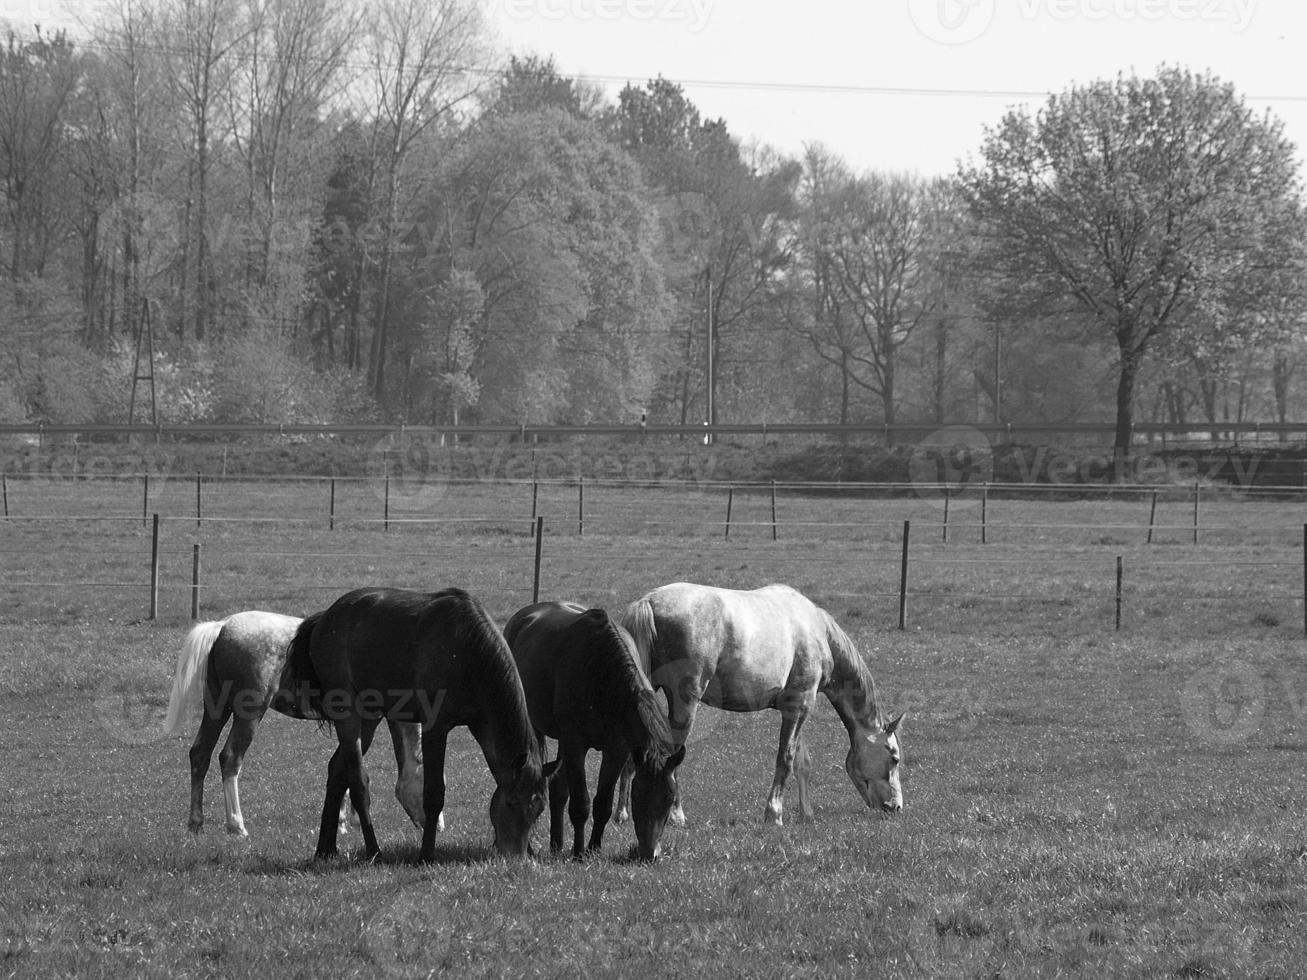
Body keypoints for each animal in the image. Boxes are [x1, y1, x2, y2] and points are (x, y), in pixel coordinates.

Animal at [162, 614, 428, 836]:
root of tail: (222, 627)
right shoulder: (365, 725)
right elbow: (350, 766)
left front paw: (345, 820)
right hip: (248, 716)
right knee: (229, 759)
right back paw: (236, 825)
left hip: (217, 710)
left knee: (200, 755)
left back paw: (196, 823)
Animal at [283, 588, 559, 862]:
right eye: (511, 803)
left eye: (538, 809)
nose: (516, 856)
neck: (467, 651)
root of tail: (325, 617)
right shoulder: (434, 727)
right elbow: (434, 793)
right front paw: (426, 853)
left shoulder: (482, 725)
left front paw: (531, 849)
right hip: (348, 714)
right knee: (357, 781)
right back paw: (373, 850)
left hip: (369, 718)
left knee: (337, 770)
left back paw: (325, 848)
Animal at [499, 603, 684, 862]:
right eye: (636, 795)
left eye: (669, 798)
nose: (649, 854)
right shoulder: (576, 743)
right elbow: (581, 803)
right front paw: (578, 852)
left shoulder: (617, 750)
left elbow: (603, 803)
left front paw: (594, 848)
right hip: (540, 730)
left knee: (558, 789)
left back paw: (557, 844)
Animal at [616, 582, 904, 831]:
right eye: (894, 757)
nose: (896, 806)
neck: (817, 631)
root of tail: (649, 601)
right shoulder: (797, 707)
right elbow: (785, 759)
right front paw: (774, 813)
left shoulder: (799, 708)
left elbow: (802, 762)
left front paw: (806, 814)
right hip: (684, 704)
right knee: (670, 754)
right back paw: (675, 815)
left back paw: (623, 812)